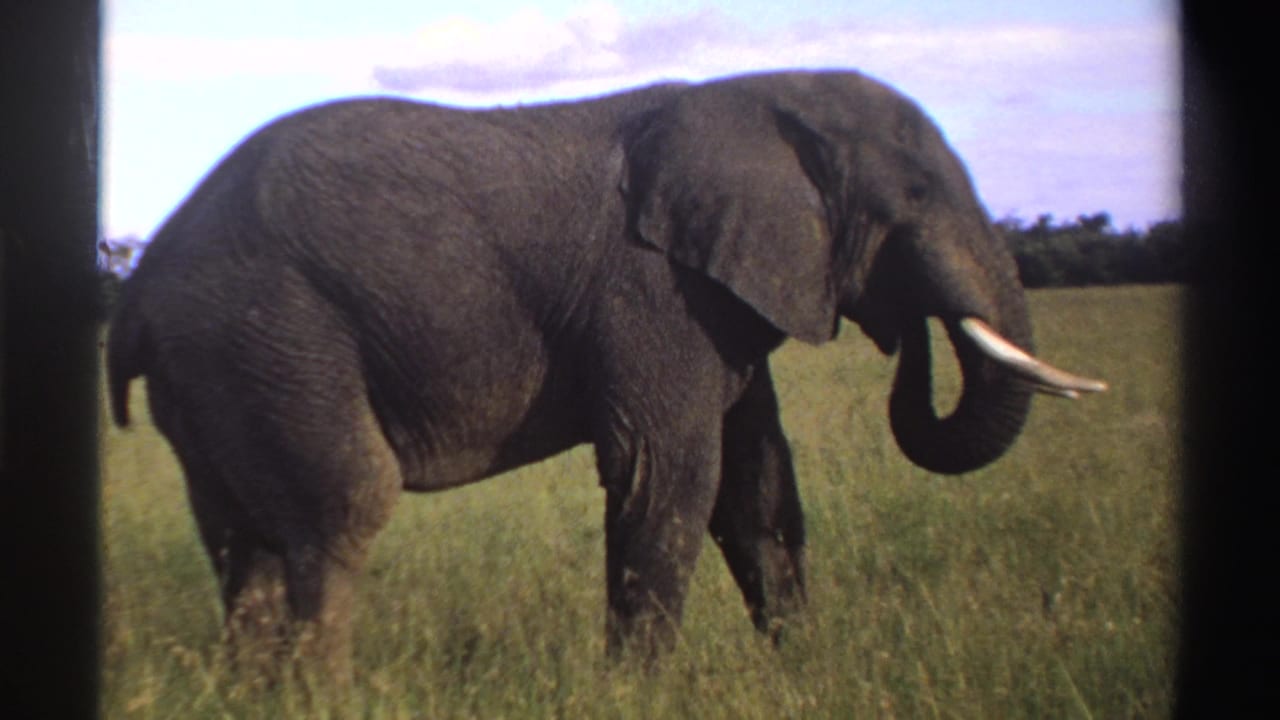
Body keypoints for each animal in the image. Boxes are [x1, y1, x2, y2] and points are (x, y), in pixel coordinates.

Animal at [107, 70, 1105, 683]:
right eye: (917, 198)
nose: (908, 330)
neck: (755, 96)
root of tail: (142, 281)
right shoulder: (653, 293)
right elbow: (669, 476)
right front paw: (638, 693)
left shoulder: (718, 299)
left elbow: (756, 488)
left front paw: (802, 669)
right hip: (271, 332)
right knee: (339, 508)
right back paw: (322, 696)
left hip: (219, 368)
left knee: (243, 542)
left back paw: (253, 693)